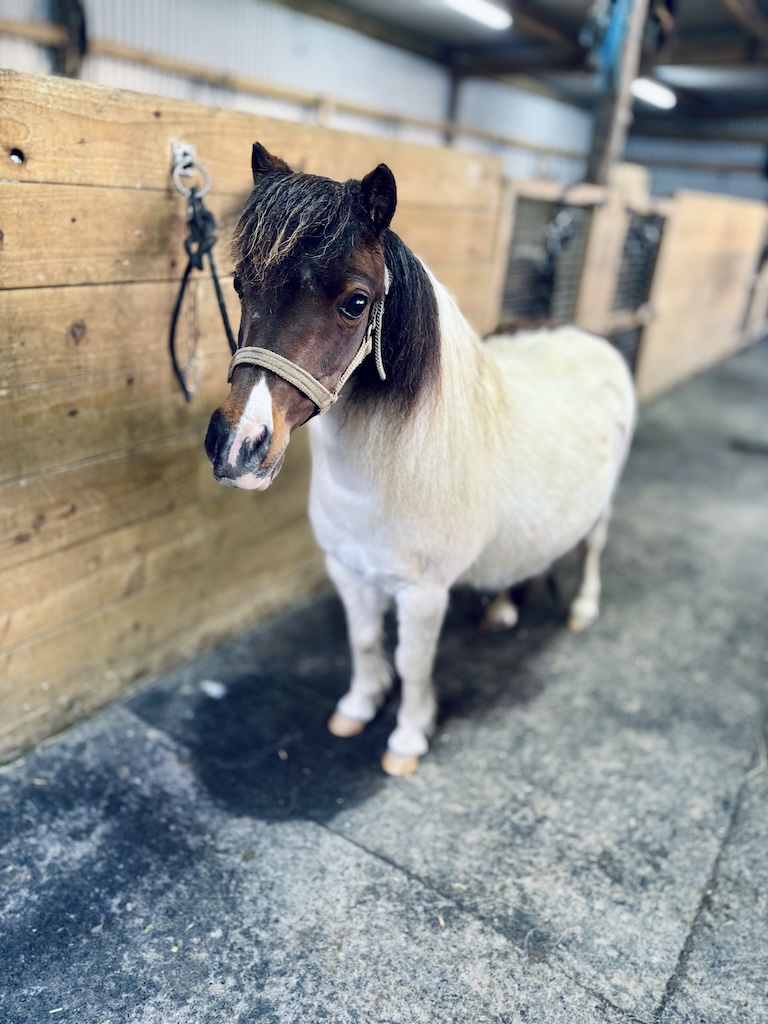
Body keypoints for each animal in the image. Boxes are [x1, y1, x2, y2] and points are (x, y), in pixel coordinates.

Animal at [205, 143, 637, 776]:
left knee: (596, 546)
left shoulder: (423, 593)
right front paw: (357, 708)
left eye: (357, 302)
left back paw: (583, 609)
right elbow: (363, 643)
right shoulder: (348, 569)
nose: (238, 444)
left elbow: (412, 664)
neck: (391, 474)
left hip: (602, 509)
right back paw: (503, 610)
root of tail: (586, 335)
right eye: (240, 284)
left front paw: (408, 739)